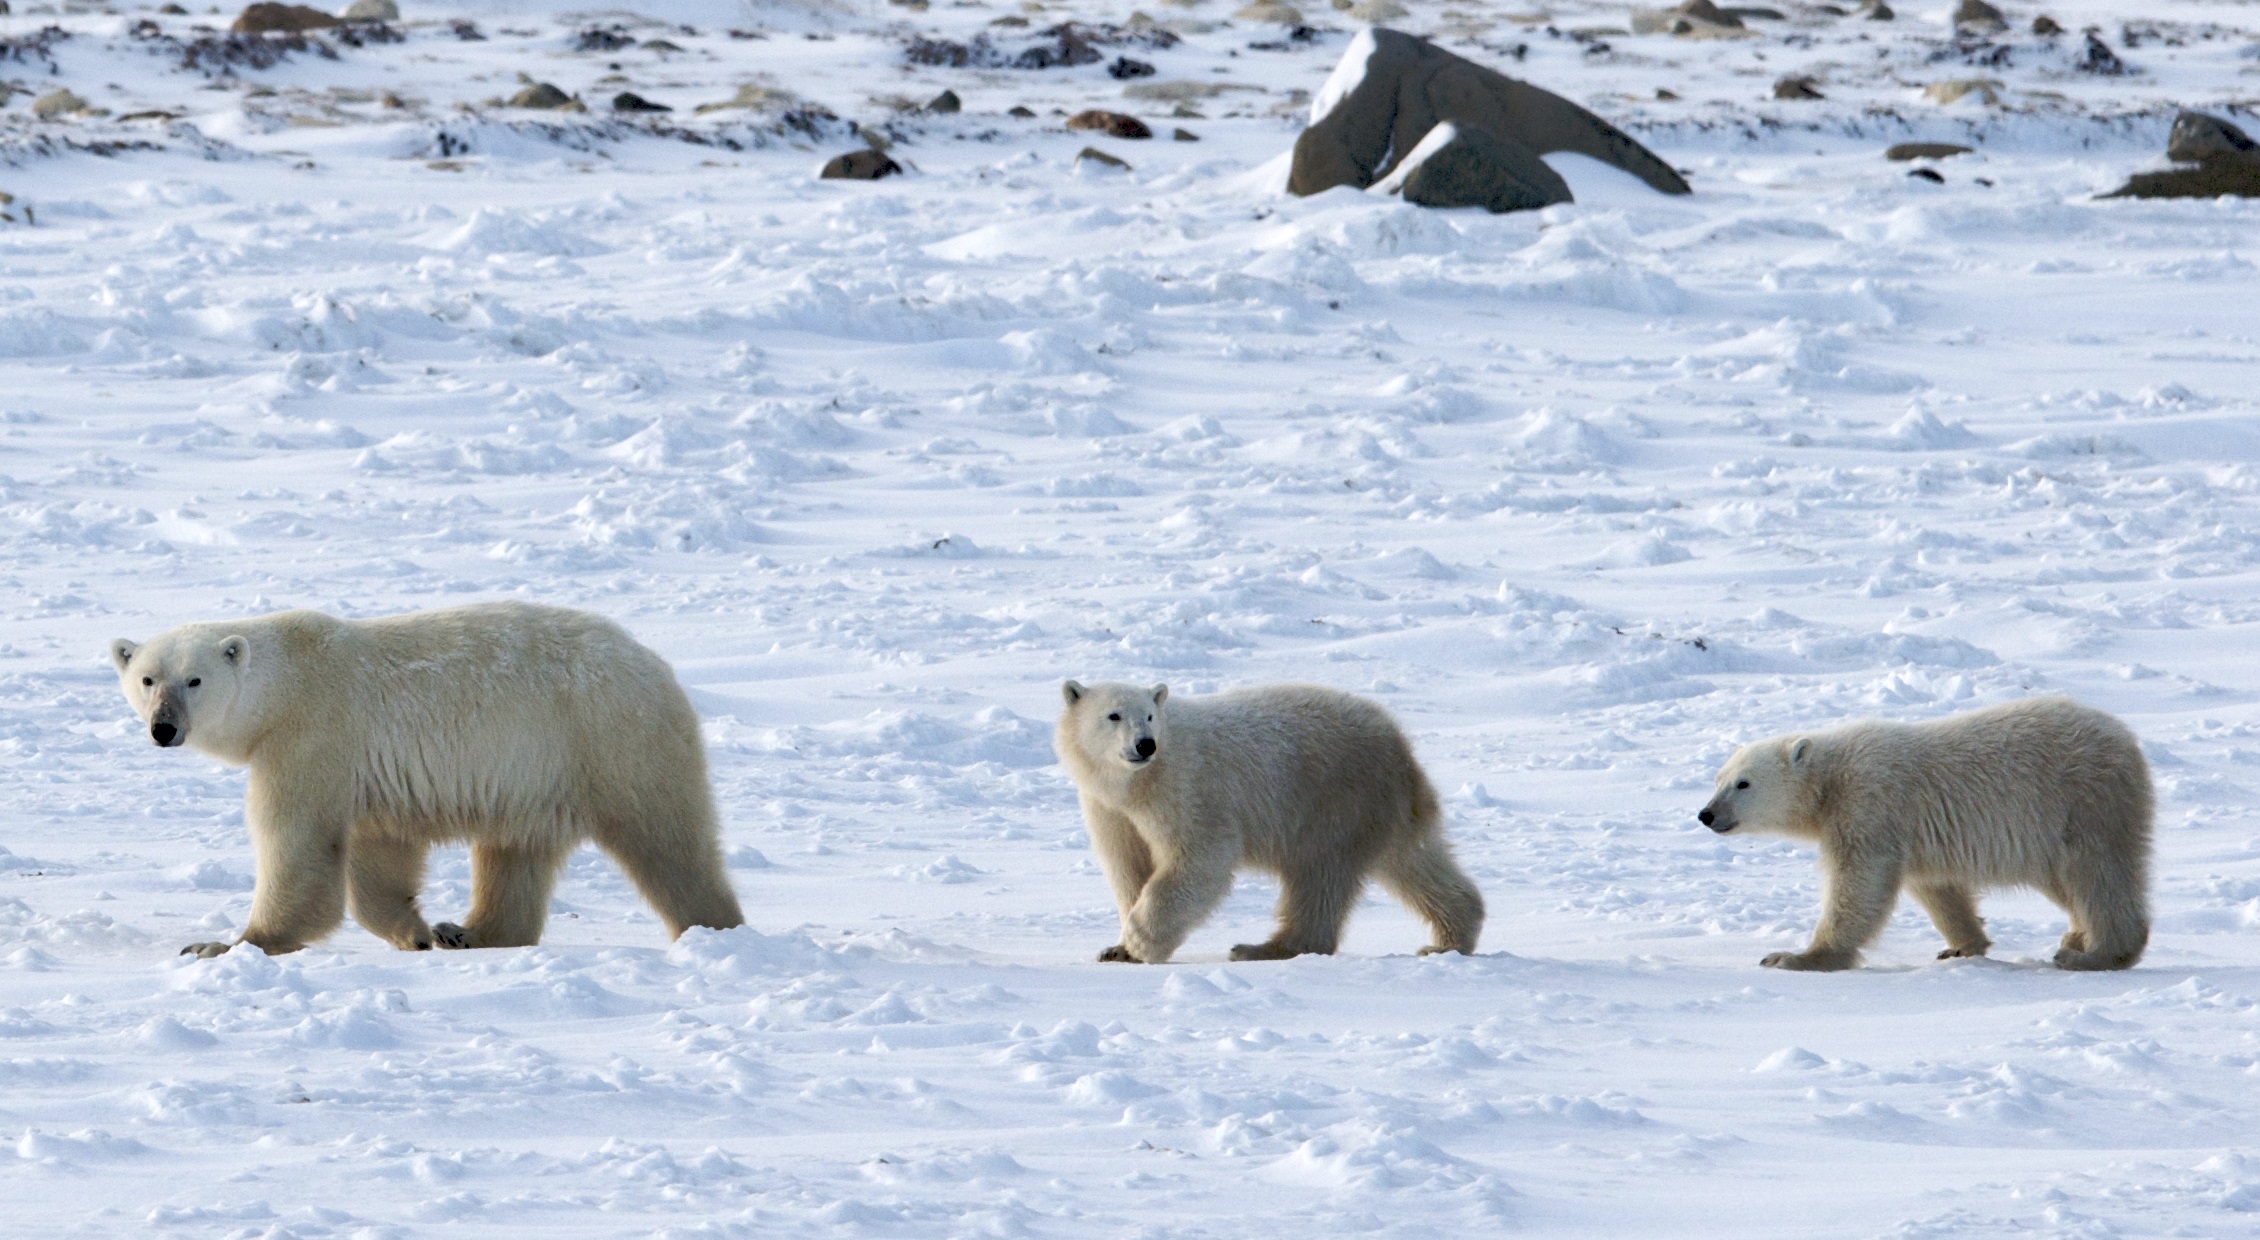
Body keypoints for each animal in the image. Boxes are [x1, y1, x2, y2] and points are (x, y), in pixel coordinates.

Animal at [107, 600, 741, 957]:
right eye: (147, 678)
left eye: (194, 680)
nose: (164, 728)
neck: (289, 678)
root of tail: (654, 664)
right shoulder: (367, 772)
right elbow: (379, 852)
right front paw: (415, 932)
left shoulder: (313, 737)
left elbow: (297, 843)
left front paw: (222, 944)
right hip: (538, 775)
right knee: (515, 853)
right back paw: (470, 932)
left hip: (607, 740)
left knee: (667, 841)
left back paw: (715, 929)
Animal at [1053, 682, 1482, 962]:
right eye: (1113, 716)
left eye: (1149, 715)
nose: (1145, 744)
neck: (1138, 782)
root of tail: (1401, 749)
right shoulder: (1109, 809)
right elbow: (1128, 865)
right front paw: (1117, 949)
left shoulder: (1187, 790)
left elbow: (1198, 859)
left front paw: (1141, 940)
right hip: (1374, 809)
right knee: (1413, 862)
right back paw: (1449, 937)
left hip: (1334, 801)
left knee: (1318, 877)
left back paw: (1263, 947)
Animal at [1699, 695, 2151, 966]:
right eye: (1718, 778)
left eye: (1743, 783)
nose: (1706, 814)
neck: (1831, 778)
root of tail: (2126, 739)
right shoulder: (1911, 833)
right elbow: (1935, 887)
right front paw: (1962, 946)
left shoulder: (1869, 803)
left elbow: (1858, 884)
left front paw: (1794, 958)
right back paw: (2076, 938)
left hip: (2082, 804)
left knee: (2097, 876)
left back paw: (2092, 955)